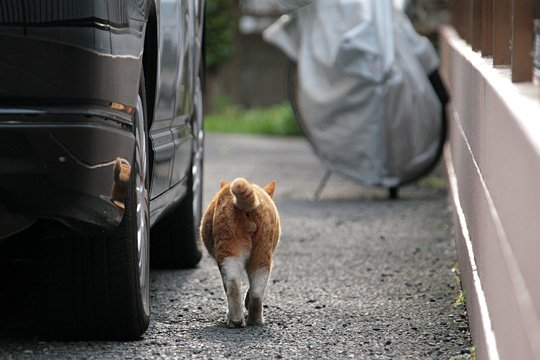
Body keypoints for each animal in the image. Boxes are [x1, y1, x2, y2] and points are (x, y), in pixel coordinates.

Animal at [200, 177, 280, 326]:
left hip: (227, 252)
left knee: (232, 285)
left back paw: (235, 321)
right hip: (261, 255)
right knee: (256, 291)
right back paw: (254, 321)